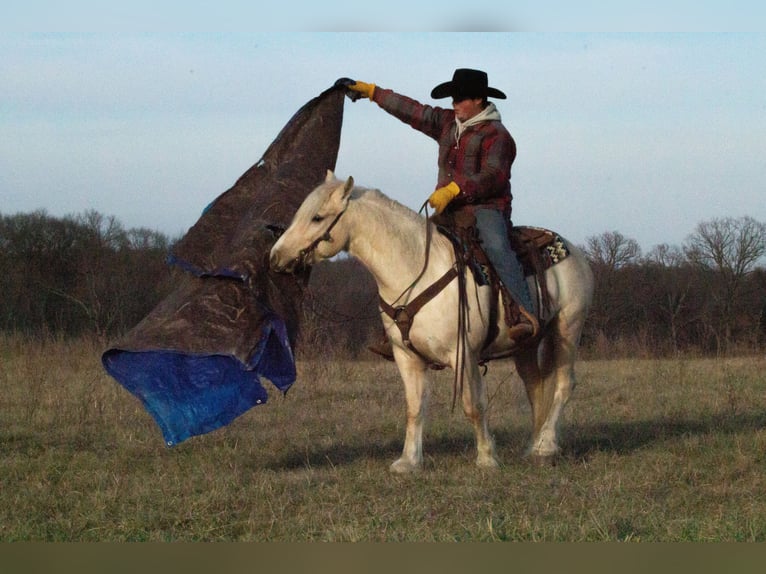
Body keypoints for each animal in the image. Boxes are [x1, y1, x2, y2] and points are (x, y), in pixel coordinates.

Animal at [272, 170, 596, 472]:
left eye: (317, 217)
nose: (276, 257)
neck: (416, 269)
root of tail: (574, 251)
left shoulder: (463, 354)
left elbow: (473, 404)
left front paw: (486, 457)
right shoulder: (406, 357)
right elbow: (415, 407)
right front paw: (409, 461)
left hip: (568, 329)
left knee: (564, 383)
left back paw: (546, 445)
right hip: (526, 345)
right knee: (536, 387)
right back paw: (533, 447)